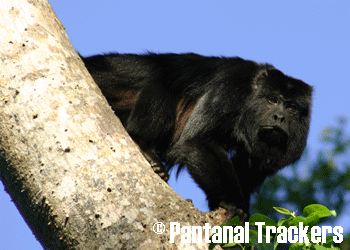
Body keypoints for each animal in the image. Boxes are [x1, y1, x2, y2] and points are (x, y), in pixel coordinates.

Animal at [81, 52, 312, 221]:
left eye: (291, 107)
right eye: (273, 100)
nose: (279, 117)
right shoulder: (231, 85)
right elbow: (198, 140)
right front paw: (232, 204)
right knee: (162, 81)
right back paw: (142, 144)